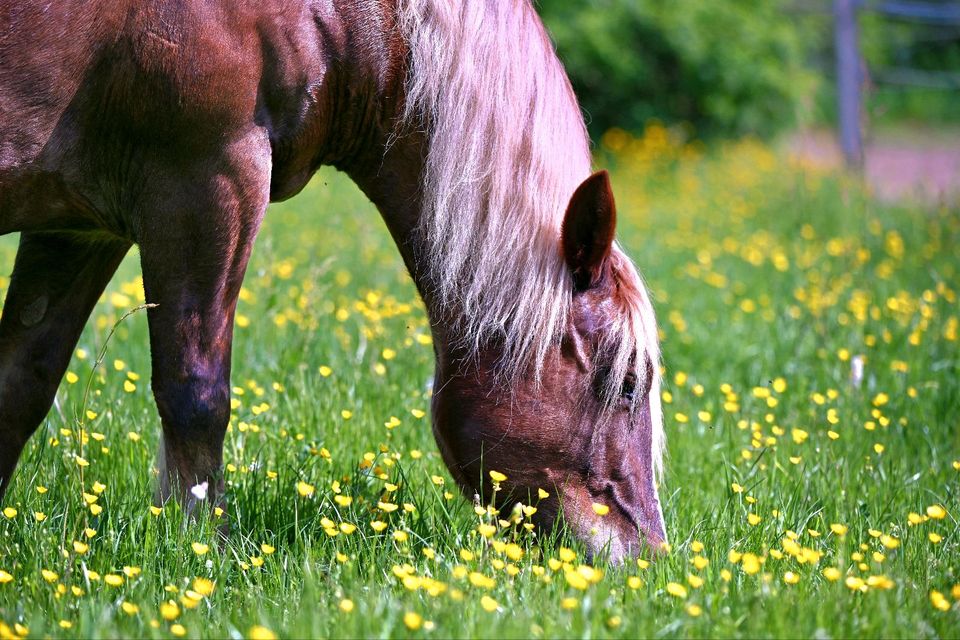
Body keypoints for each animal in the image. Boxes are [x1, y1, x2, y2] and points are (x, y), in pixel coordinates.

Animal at [0, 0, 664, 560]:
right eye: (628, 384)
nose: (651, 556)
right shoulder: (204, 186)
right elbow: (195, 395)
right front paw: (200, 553)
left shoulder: (79, 229)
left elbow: (21, 385)